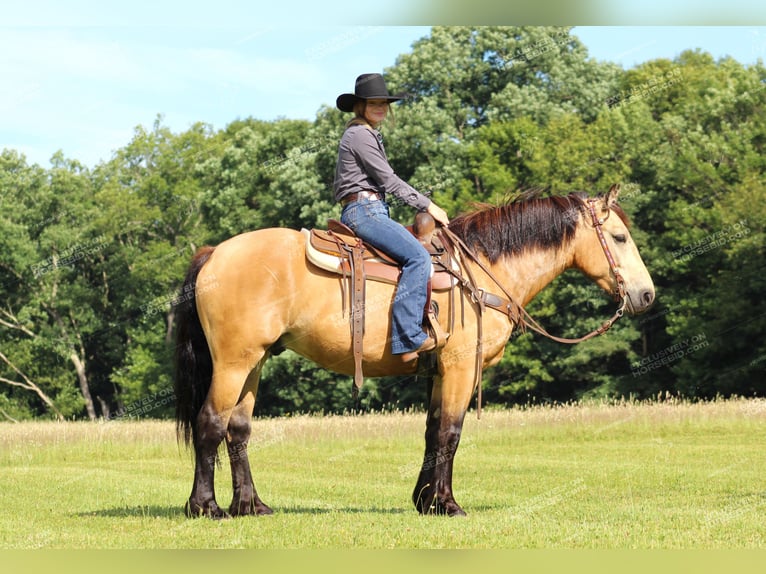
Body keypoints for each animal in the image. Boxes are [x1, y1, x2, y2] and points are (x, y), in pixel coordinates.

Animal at [176, 187, 660, 520]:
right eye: (619, 237)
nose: (646, 295)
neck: (483, 269)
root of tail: (214, 254)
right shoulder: (461, 367)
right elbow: (450, 433)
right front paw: (447, 504)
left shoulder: (439, 372)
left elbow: (431, 432)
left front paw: (425, 501)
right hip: (233, 363)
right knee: (210, 423)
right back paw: (205, 507)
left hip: (254, 362)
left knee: (238, 430)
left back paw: (250, 505)